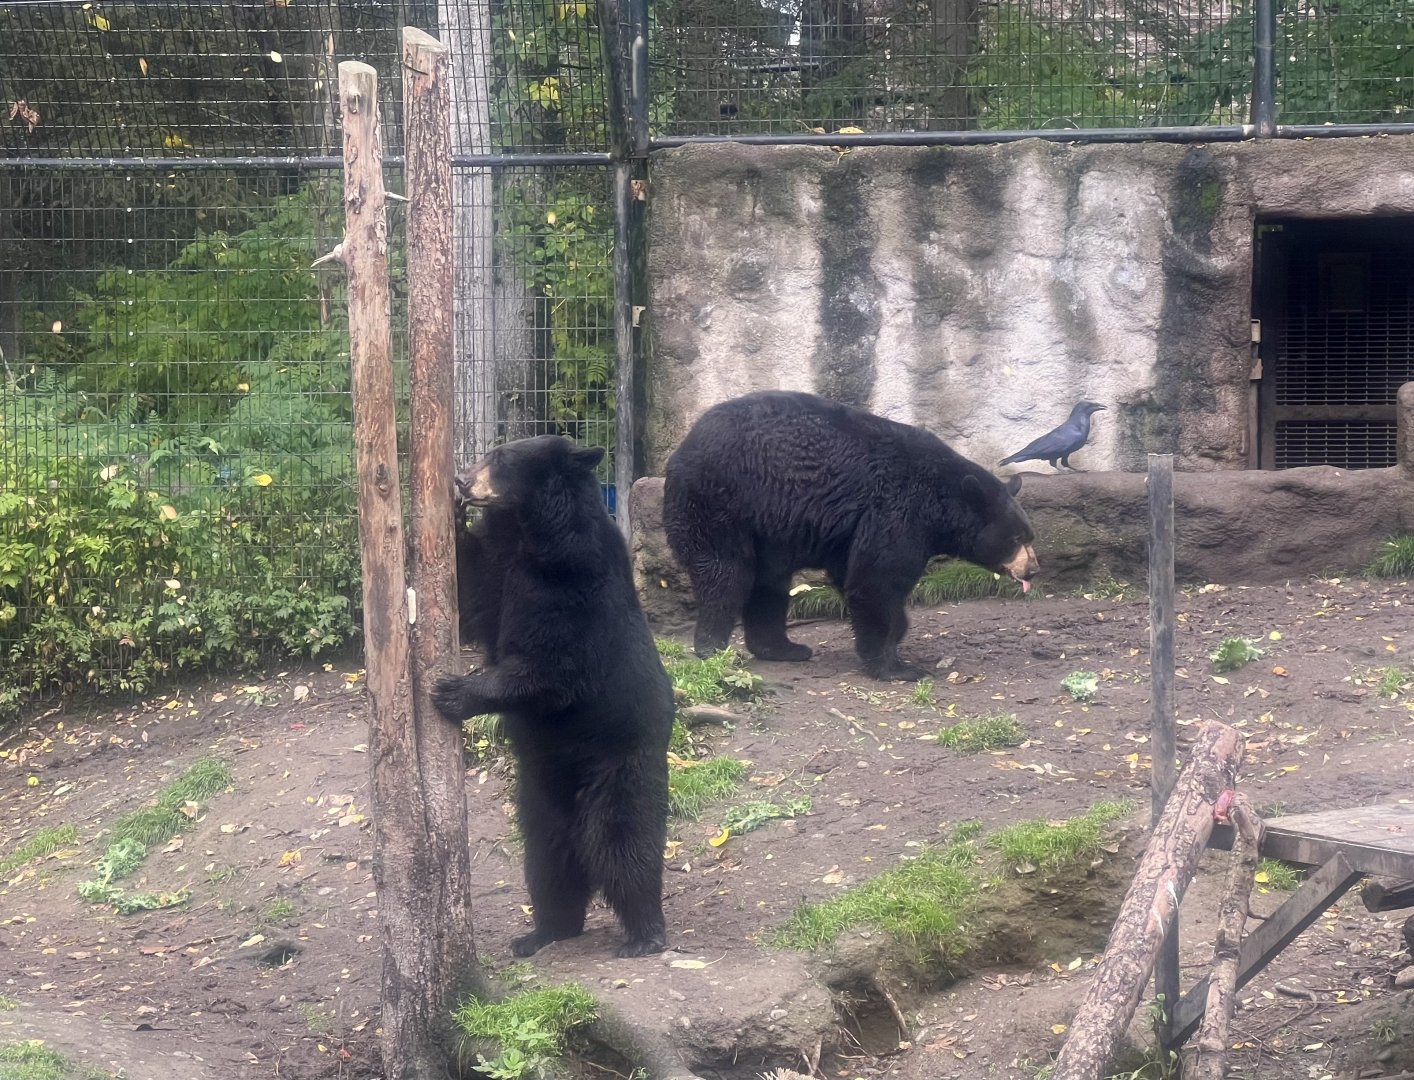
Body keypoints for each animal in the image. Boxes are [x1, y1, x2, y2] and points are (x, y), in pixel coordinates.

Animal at [435, 434, 674, 959]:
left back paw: (644, 933)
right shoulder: (504, 566)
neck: (535, 533)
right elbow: (477, 592)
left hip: (620, 766)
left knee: (625, 846)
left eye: (501, 458)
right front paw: (452, 515)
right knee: (548, 865)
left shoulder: (573, 586)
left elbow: (551, 668)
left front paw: (452, 691)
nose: (462, 479)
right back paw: (541, 932)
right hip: (541, 795)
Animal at [663, 390, 1038, 681]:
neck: (940, 501)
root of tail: (682, 449)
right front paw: (897, 667)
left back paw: (783, 647)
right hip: (721, 503)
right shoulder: (897, 511)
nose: (1032, 570)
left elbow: (855, 575)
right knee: (726, 572)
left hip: (766, 527)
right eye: (1015, 539)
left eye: (1029, 536)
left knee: (768, 581)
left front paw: (897, 636)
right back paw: (713, 648)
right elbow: (877, 579)